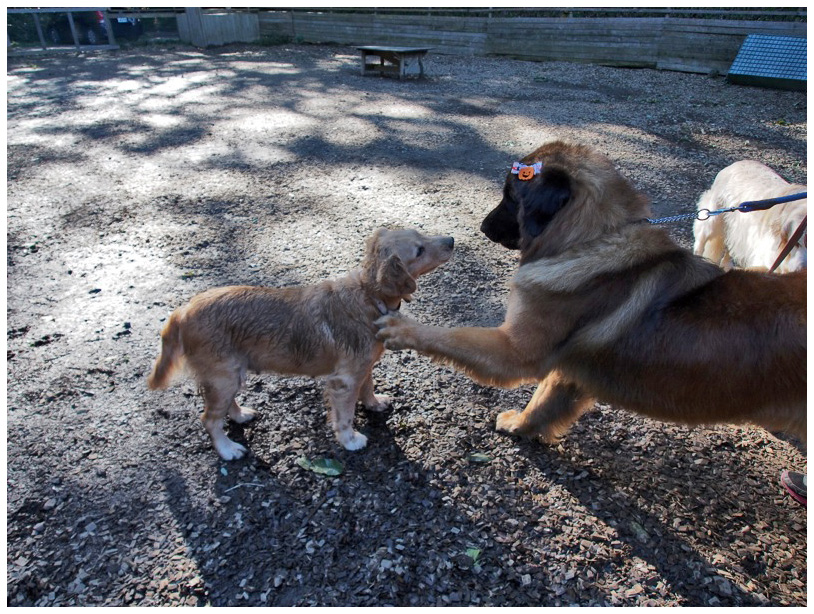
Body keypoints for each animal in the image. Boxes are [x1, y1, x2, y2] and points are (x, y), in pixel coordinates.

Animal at [150, 229, 456, 460]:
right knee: (210, 419)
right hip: (222, 377)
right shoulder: (343, 381)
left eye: (421, 232)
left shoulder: (363, 368)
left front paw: (374, 403)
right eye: (419, 250)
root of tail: (182, 311)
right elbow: (345, 416)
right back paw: (228, 450)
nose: (452, 240)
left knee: (225, 406)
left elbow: (367, 388)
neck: (368, 295)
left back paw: (241, 416)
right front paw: (350, 440)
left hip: (229, 375)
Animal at [378, 143, 808, 446]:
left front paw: (402, 329)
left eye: (510, 195)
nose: (481, 227)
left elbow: (448, 335)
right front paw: (523, 426)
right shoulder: (568, 367)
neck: (592, 240)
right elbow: (546, 401)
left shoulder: (516, 350)